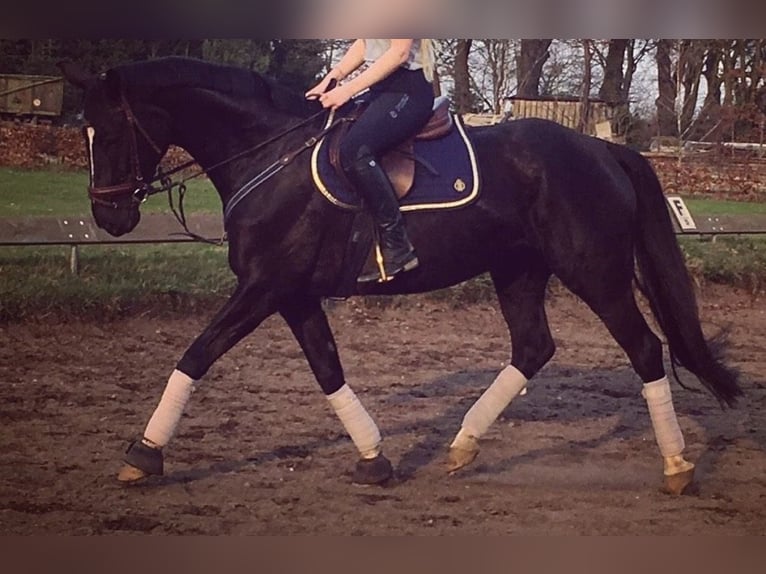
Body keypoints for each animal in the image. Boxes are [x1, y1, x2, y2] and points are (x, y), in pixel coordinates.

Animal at [60, 56, 741, 495]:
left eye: (112, 132)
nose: (109, 216)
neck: (268, 155)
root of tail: (602, 149)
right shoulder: (292, 293)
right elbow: (327, 369)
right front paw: (373, 458)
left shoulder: (264, 287)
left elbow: (195, 355)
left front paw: (143, 455)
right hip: (517, 270)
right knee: (533, 347)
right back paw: (462, 446)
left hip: (594, 272)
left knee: (645, 350)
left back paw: (677, 467)